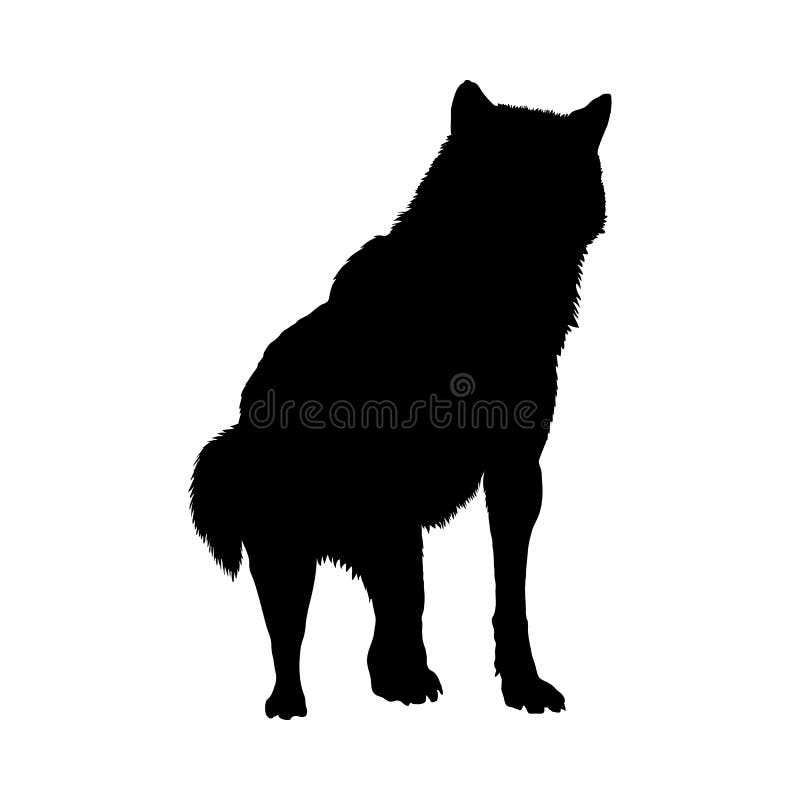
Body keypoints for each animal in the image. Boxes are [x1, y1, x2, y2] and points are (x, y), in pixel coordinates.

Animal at [190, 81, 610, 719]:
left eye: (557, 182)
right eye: (502, 174)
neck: (475, 316)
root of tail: (235, 431)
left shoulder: (516, 474)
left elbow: (508, 595)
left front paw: (522, 684)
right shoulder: (391, 483)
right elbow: (410, 593)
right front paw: (409, 678)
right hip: (289, 548)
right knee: (289, 634)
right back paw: (290, 704)